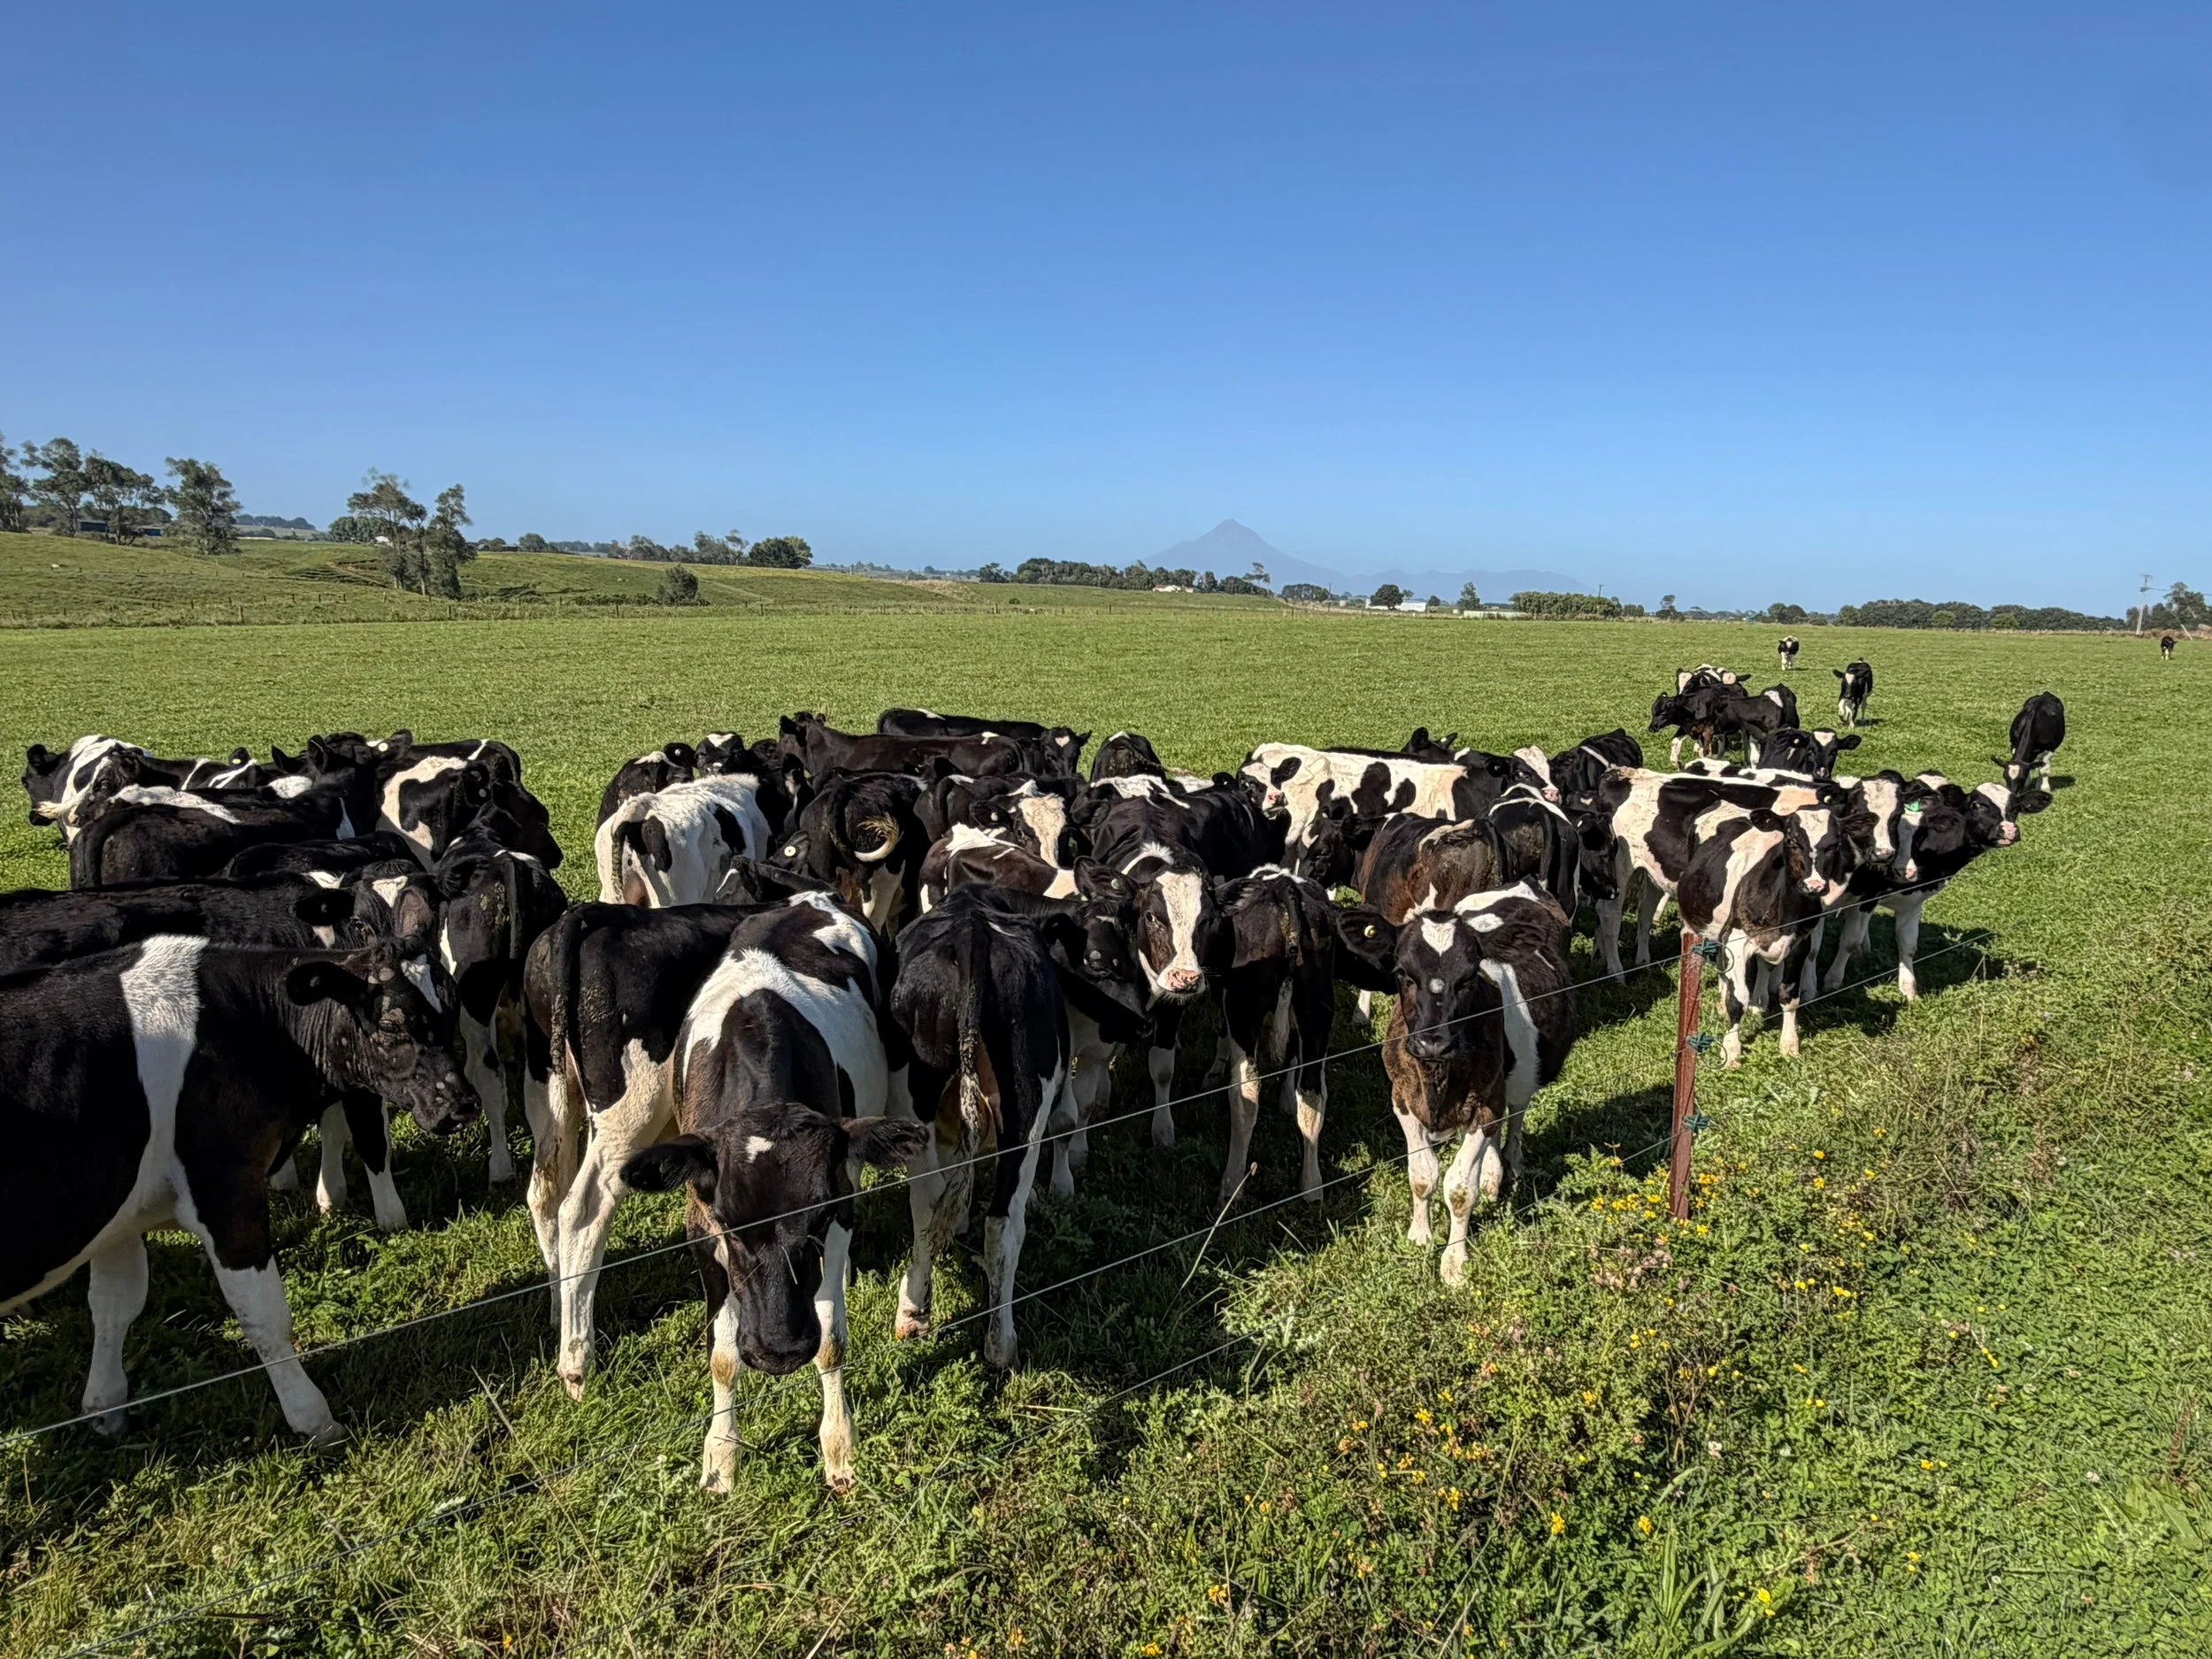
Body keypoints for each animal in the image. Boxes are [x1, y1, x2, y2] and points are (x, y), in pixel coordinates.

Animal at [0, 938, 474, 1441]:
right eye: (390, 1024)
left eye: (453, 1009)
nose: (462, 1105)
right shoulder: (226, 1187)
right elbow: (264, 1315)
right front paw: (314, 1418)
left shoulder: (119, 1214)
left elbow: (114, 1302)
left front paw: (105, 1408)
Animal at [613, 894, 910, 1493]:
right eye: (730, 1221)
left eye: (816, 1220)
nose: (779, 1351)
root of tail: (812, 898)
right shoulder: (700, 1226)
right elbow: (723, 1354)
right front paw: (721, 1458)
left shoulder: (840, 1200)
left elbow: (831, 1339)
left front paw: (839, 1448)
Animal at [1380, 885, 1577, 1283]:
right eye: (1402, 971)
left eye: (1470, 976)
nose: (1433, 1042)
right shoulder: (1401, 1098)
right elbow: (1422, 1175)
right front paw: (1419, 1237)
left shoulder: (1485, 1106)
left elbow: (1458, 1188)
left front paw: (1454, 1263)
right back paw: (1491, 1175)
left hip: (1517, 1078)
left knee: (1515, 1113)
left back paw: (1509, 1165)